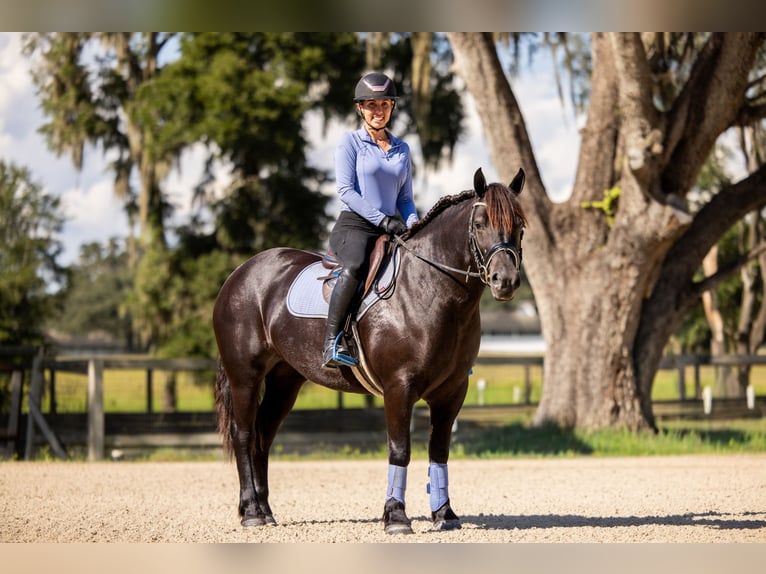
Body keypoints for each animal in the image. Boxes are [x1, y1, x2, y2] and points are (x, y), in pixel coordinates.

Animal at [213, 167, 527, 534]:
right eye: (479, 223)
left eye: (520, 225)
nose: (505, 281)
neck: (429, 288)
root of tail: (240, 273)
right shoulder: (399, 387)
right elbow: (400, 450)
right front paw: (396, 516)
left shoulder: (452, 391)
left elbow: (439, 451)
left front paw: (444, 514)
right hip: (245, 377)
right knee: (244, 434)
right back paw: (250, 511)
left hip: (284, 381)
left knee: (263, 434)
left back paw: (265, 510)